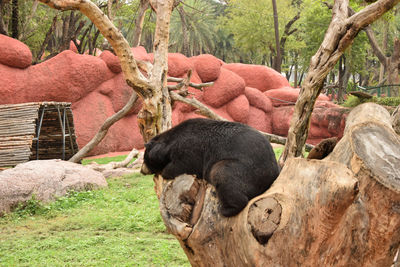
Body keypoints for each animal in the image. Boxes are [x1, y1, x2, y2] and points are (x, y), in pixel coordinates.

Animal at [142, 119, 280, 218]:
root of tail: (273, 173)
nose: (142, 170)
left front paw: (162, 171)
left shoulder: (191, 150)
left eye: (144, 159)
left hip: (246, 169)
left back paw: (225, 209)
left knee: (222, 174)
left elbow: (181, 166)